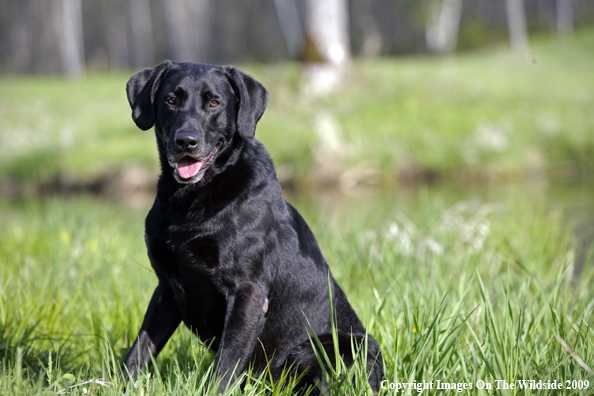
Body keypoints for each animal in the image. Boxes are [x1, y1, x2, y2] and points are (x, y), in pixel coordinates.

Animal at [122, 62, 382, 392]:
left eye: (214, 103)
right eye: (170, 100)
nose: (186, 141)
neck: (192, 198)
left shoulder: (248, 290)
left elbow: (225, 364)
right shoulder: (167, 288)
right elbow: (139, 350)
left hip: (336, 347)